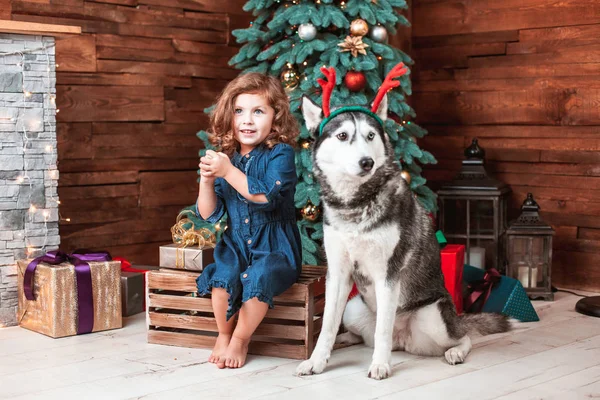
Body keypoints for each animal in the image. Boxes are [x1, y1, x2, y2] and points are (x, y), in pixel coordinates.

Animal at [296, 95, 510, 380]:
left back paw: (454, 352)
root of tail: (401, 341)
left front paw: (379, 365)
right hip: (353, 308)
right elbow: (327, 327)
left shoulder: (388, 274)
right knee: (362, 335)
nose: (367, 162)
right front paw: (316, 360)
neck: (355, 205)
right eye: (342, 136)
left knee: (462, 337)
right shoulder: (338, 275)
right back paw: (345, 340)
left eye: (370, 135)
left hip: (433, 318)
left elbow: (382, 330)